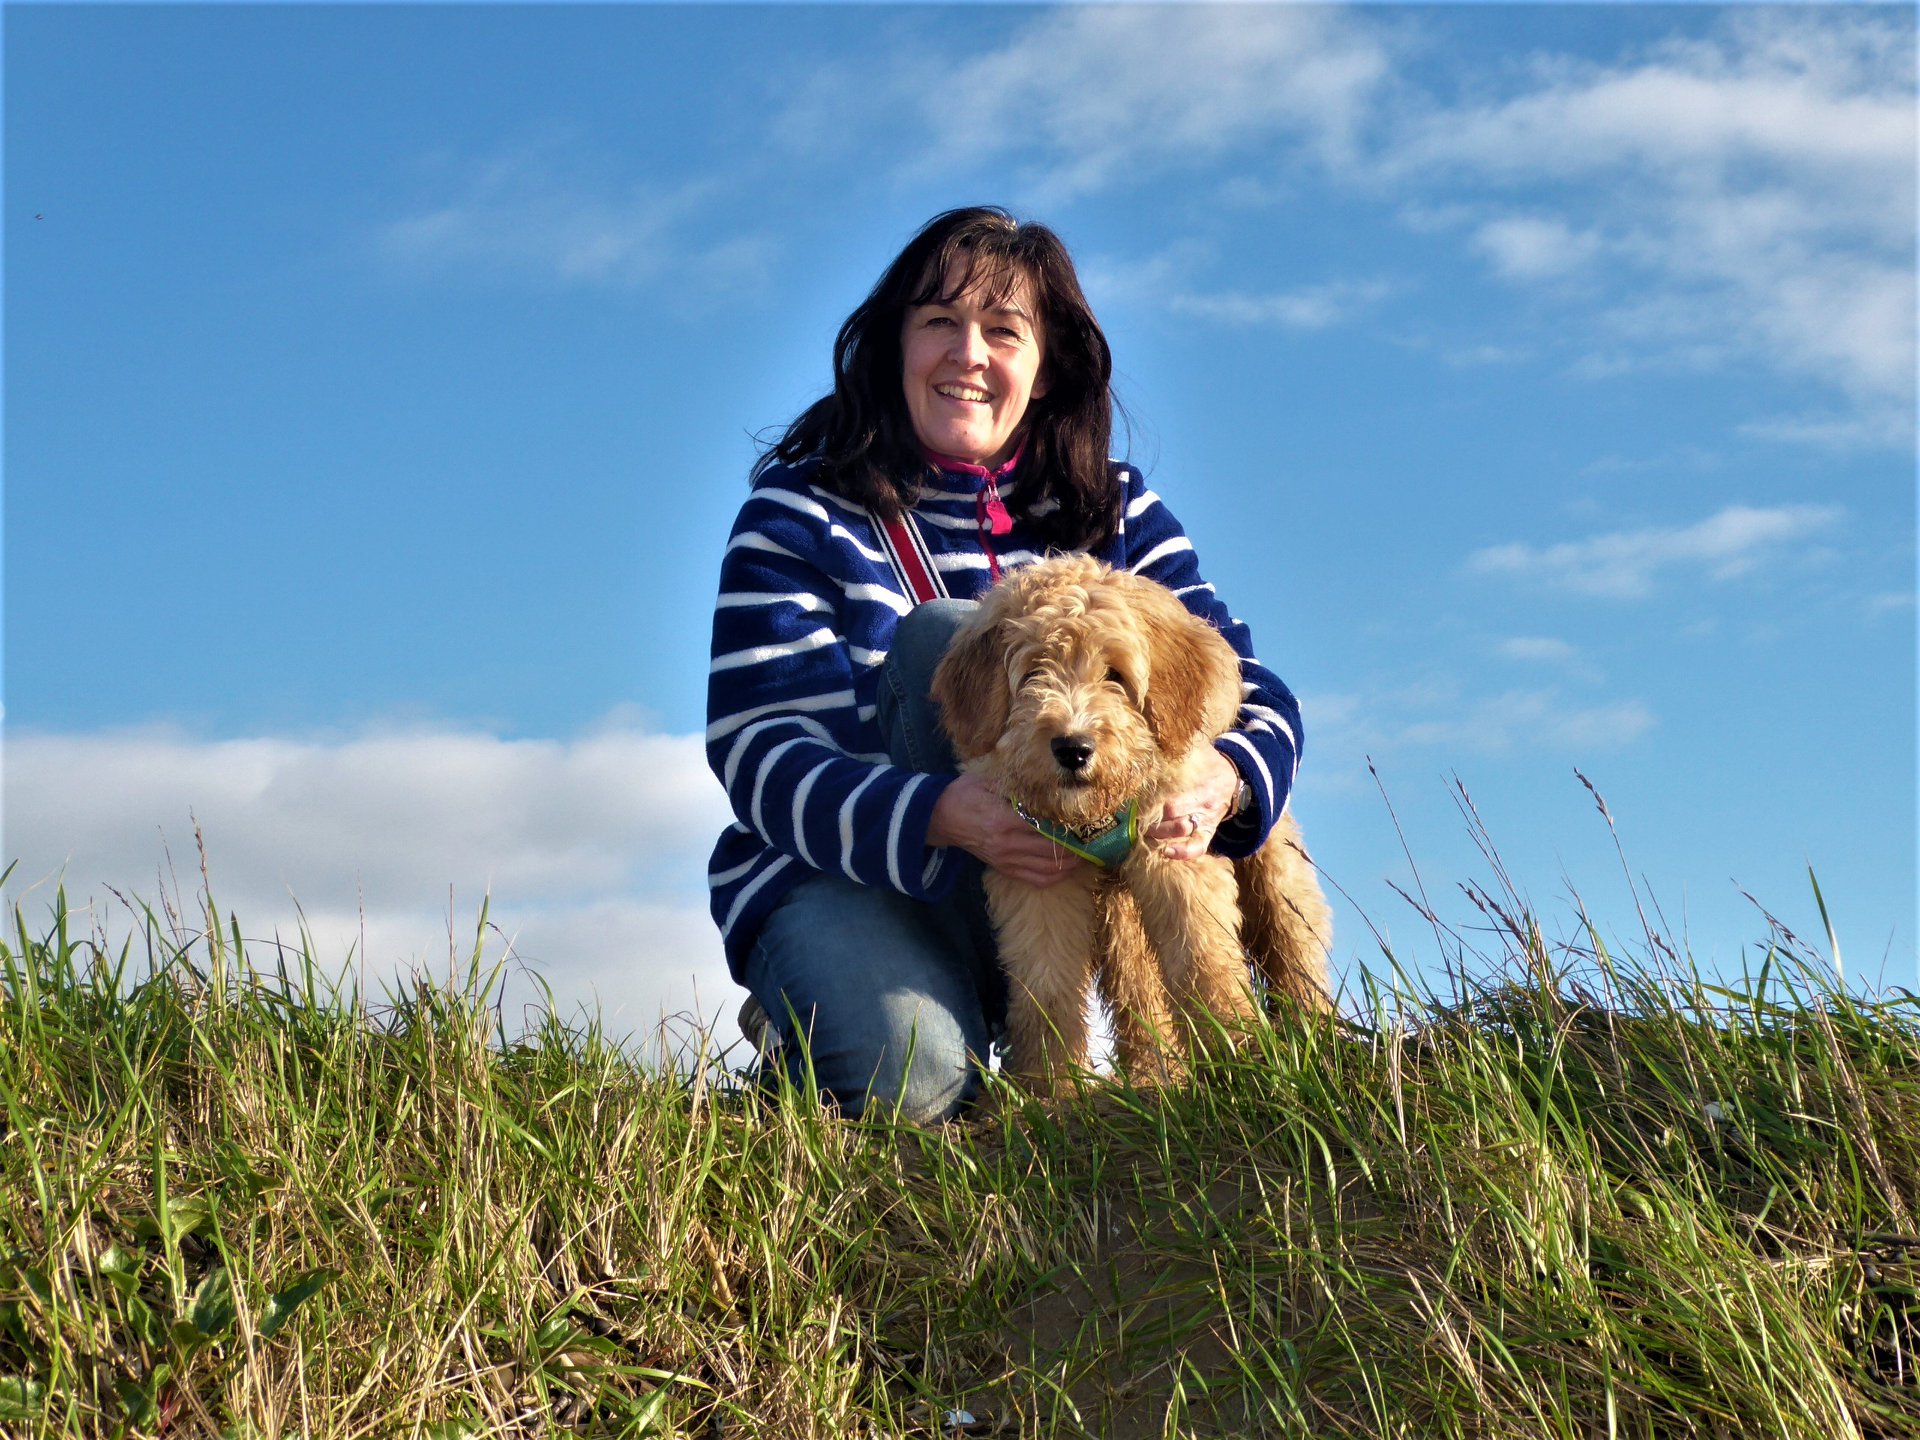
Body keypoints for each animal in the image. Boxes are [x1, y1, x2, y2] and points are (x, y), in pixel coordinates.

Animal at [933, 556, 1336, 1090]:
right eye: (1033, 672)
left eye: (1115, 675)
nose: (1073, 748)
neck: (1095, 813)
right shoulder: (1034, 875)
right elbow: (1046, 985)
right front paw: (1050, 1089)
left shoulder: (1179, 851)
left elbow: (1203, 959)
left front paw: (1240, 1056)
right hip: (1120, 912)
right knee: (1139, 987)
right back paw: (1152, 1073)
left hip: (1272, 861)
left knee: (1293, 940)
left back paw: (1318, 1034)